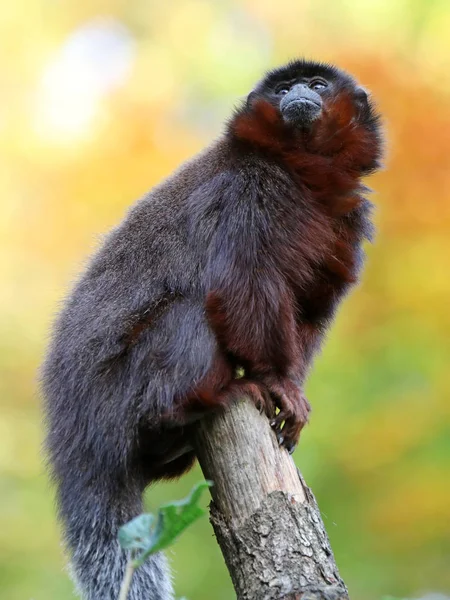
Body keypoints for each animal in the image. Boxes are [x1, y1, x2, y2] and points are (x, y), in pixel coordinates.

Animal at [41, 57, 384, 600]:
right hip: (116, 402)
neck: (301, 175)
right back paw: (191, 406)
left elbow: (312, 307)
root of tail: (71, 435)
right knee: (191, 313)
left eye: (318, 84)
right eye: (283, 89)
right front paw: (276, 383)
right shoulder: (246, 193)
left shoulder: (349, 219)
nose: (299, 93)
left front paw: (290, 387)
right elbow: (242, 283)